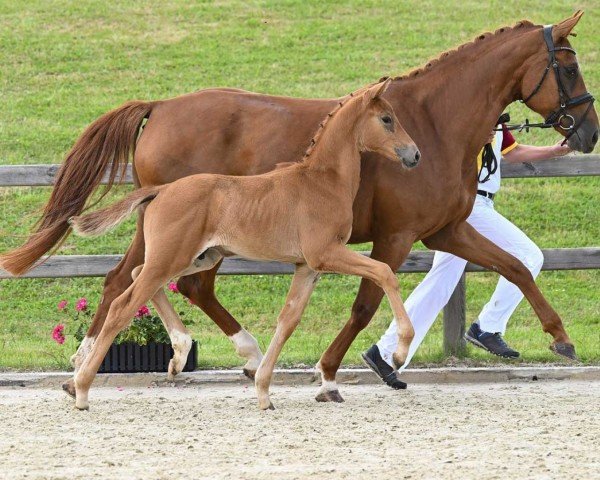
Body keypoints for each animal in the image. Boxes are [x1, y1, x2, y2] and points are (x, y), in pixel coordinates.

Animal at [68, 80, 420, 410]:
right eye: (387, 119)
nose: (414, 154)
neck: (321, 181)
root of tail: (161, 191)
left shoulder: (307, 266)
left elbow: (288, 320)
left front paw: (264, 392)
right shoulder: (326, 254)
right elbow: (385, 272)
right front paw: (399, 354)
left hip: (197, 257)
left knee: (139, 275)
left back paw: (180, 352)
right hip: (173, 257)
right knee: (123, 304)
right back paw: (82, 388)